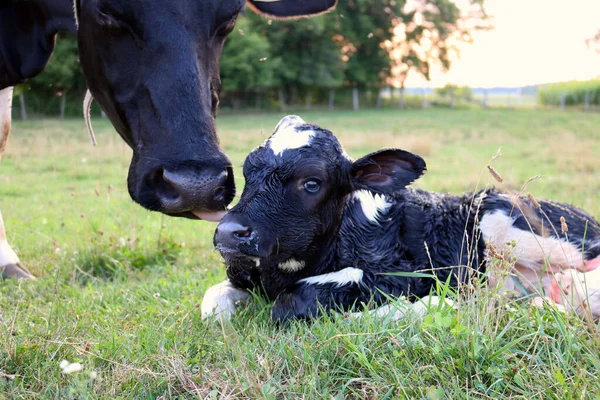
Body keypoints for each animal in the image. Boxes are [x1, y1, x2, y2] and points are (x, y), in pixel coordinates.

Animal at [200, 115, 600, 322]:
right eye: (247, 170)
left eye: (311, 182)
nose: (229, 232)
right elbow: (212, 303)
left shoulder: (400, 274)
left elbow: (296, 301)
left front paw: (426, 307)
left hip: (508, 220)